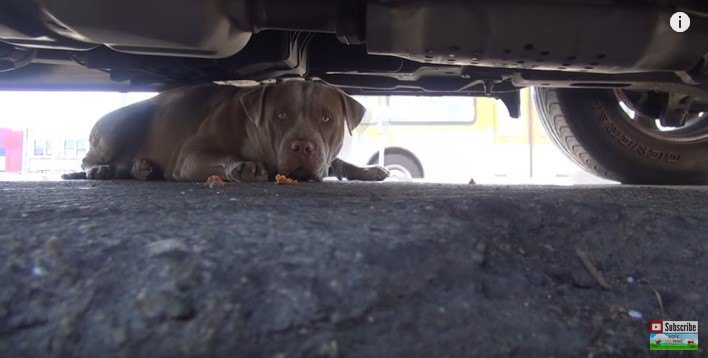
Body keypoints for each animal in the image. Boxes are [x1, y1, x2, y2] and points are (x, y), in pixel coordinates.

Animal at [63, 81, 390, 182]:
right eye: (280, 115)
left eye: (326, 118)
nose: (302, 146)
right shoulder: (189, 156)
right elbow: (223, 157)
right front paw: (244, 166)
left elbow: (337, 161)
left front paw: (368, 170)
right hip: (123, 123)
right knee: (88, 158)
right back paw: (100, 169)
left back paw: (141, 168)